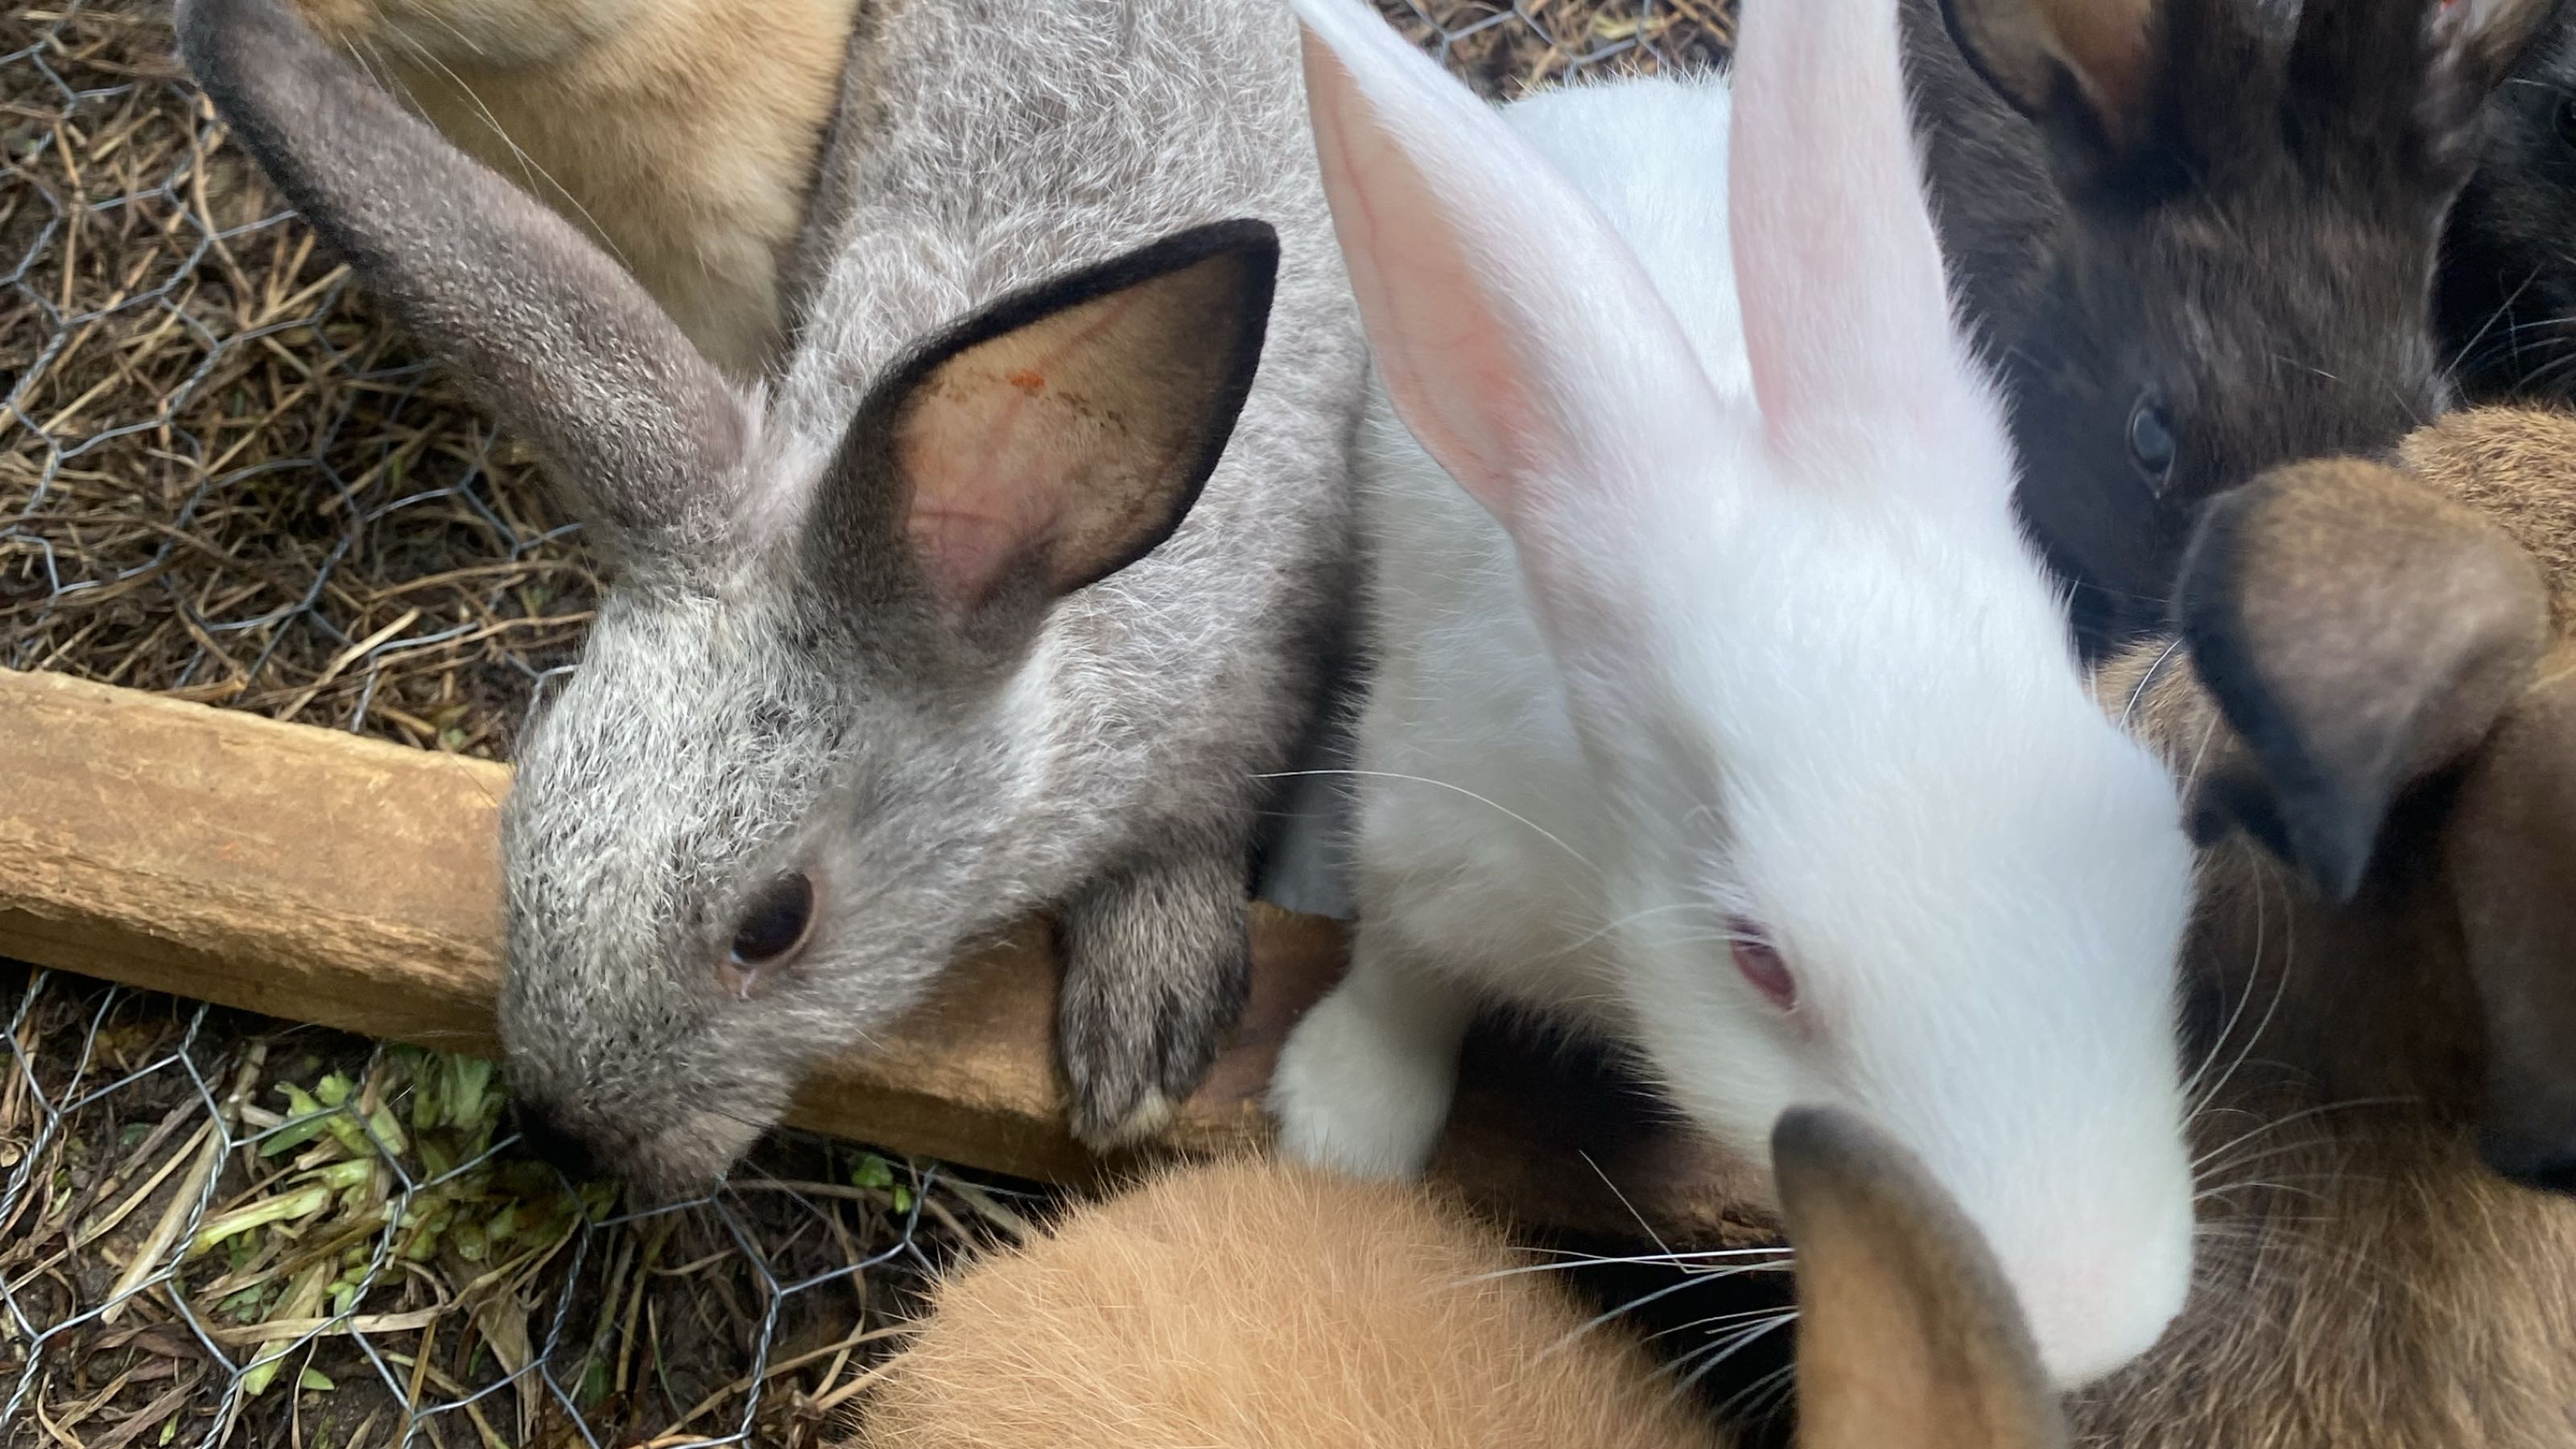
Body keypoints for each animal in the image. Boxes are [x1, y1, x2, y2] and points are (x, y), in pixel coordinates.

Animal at [1266, 0, 2199, 1391]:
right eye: (1760, 965)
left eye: (2153, 846)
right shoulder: (1429, 831)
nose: (2086, 1325)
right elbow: (1400, 983)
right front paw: (1336, 1128)